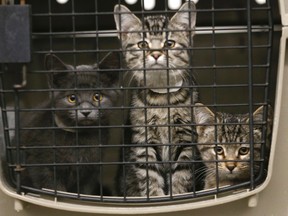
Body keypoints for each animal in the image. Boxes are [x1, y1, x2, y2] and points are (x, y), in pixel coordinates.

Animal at [13, 53, 120, 195]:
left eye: (97, 96)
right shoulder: (43, 168)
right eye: (72, 98)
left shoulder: (91, 173)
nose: (85, 111)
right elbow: (55, 190)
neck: (80, 138)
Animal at [113, 2, 199, 197]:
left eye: (169, 43)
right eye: (143, 44)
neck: (162, 101)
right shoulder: (143, 138)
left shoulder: (186, 139)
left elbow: (181, 175)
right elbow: (149, 176)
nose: (156, 54)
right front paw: (155, 197)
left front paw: (179, 196)